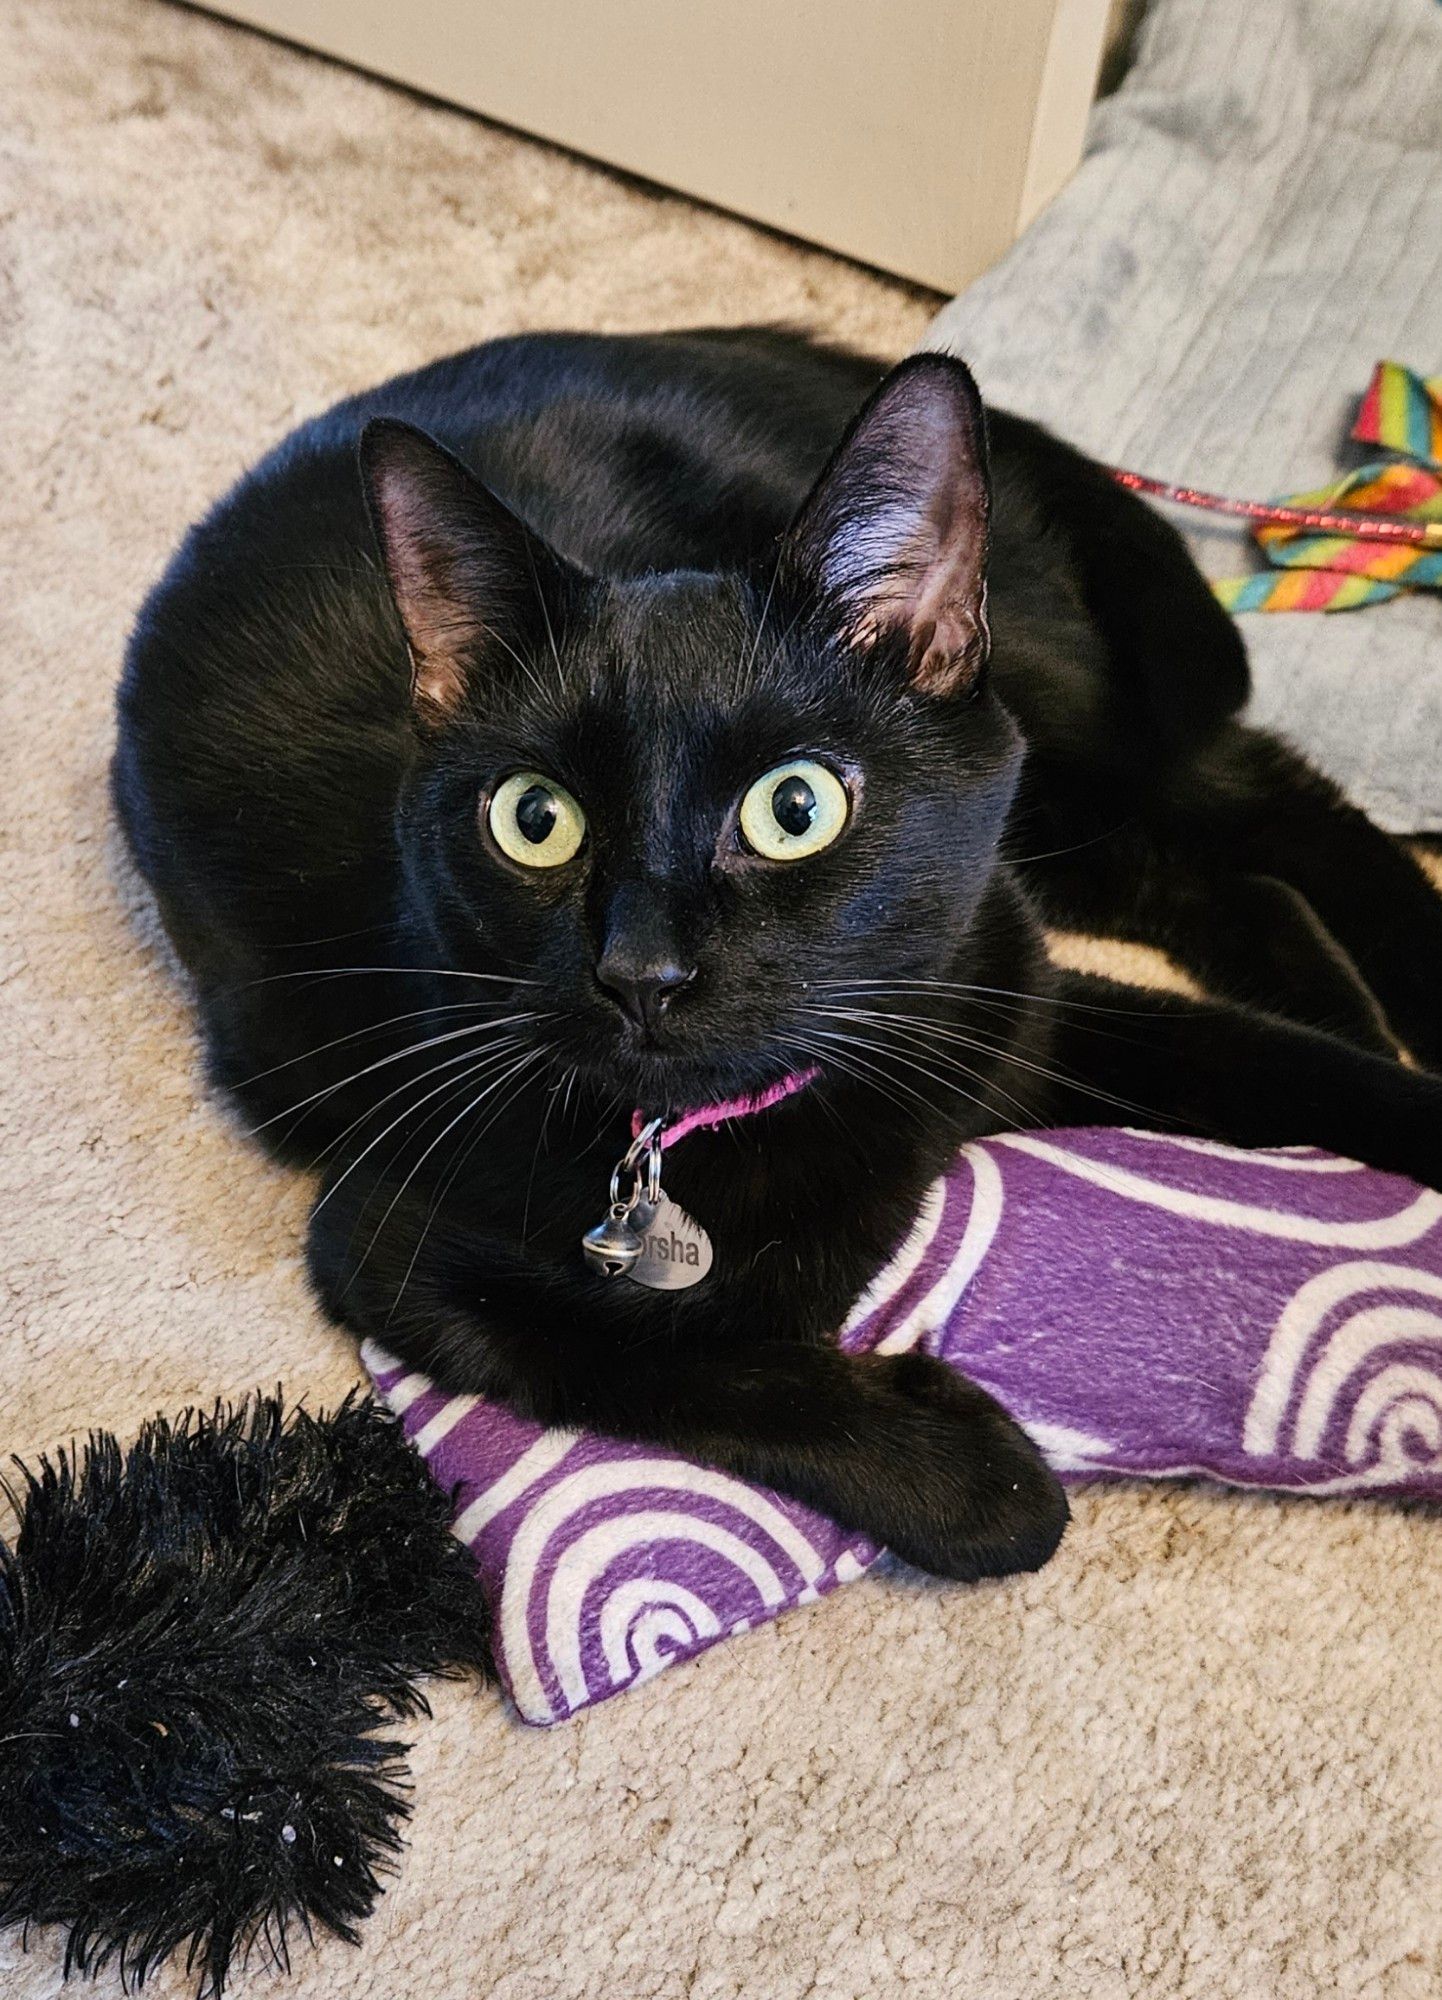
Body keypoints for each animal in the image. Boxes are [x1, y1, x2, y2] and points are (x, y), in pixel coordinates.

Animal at [112, 328, 1440, 1576]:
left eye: (792, 807)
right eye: (534, 819)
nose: (640, 970)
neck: (763, 1109)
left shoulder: (1008, 1004)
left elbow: (1283, 1068)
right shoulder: (392, 1247)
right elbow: (679, 1361)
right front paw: (968, 1457)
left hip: (1048, 743)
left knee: (1252, 791)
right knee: (1219, 860)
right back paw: (1336, 987)